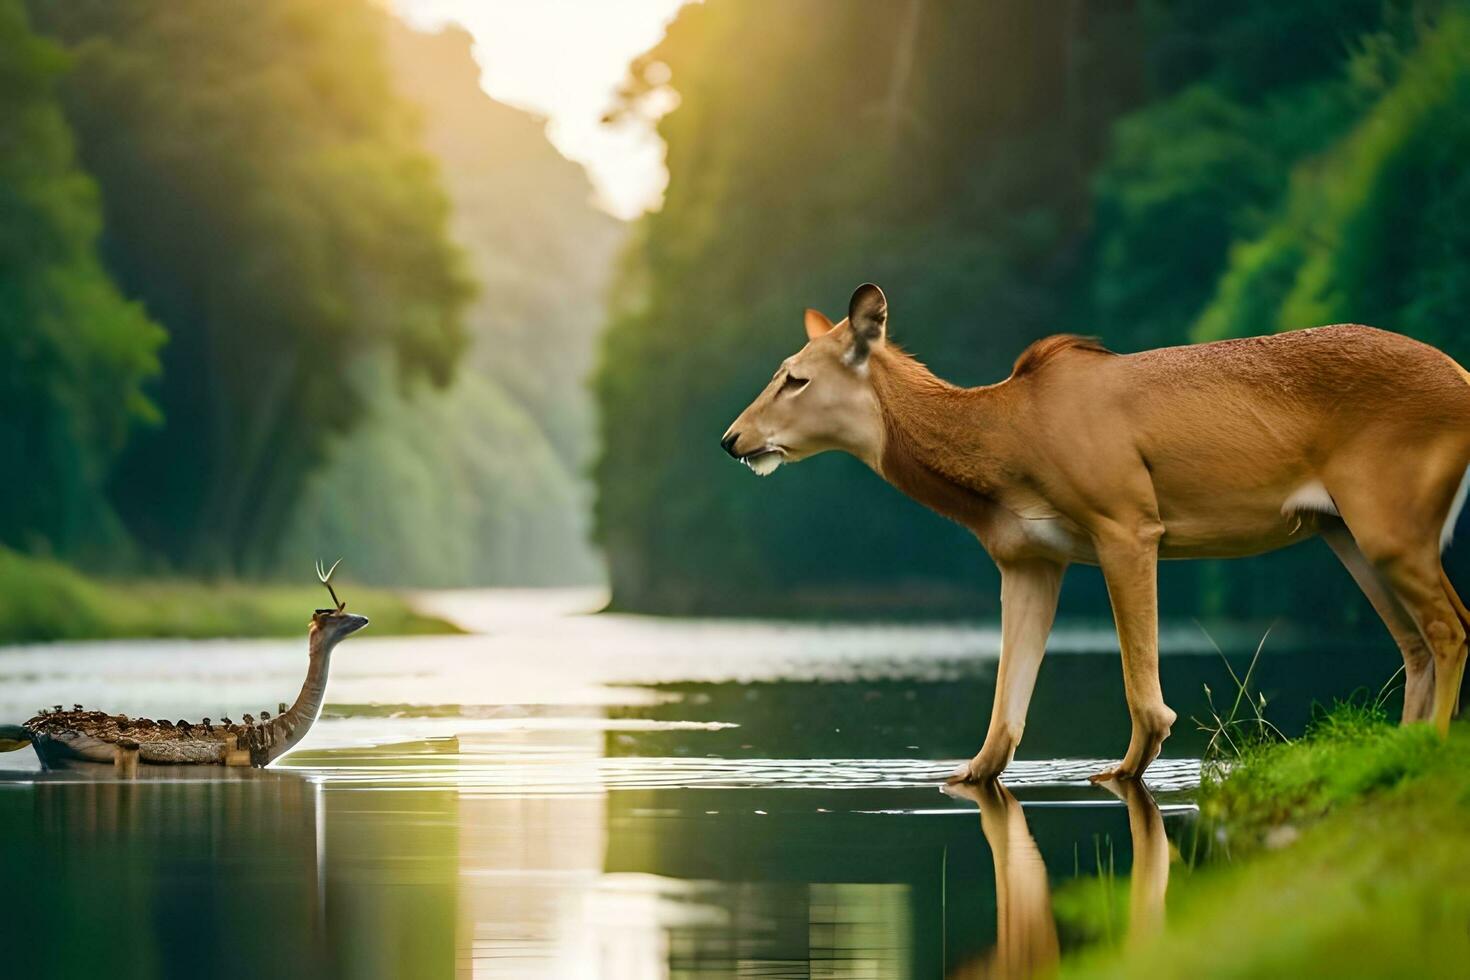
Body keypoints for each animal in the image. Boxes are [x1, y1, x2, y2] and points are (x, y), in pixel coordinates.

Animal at [720, 282, 1470, 781]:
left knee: (1447, 626)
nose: (732, 439)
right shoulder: (1027, 560)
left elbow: (1145, 696)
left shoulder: (1128, 521)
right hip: (1345, 530)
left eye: (795, 378)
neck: (1000, 452)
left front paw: (1121, 771)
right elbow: (1004, 717)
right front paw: (964, 776)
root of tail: (1462, 376)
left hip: (1390, 520)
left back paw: (1430, 749)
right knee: (1414, 640)